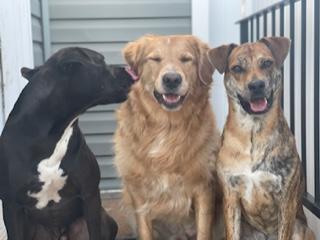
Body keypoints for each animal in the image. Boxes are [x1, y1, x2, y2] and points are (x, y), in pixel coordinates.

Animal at [0, 47, 134, 240]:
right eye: (100, 61)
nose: (130, 70)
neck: (52, 134)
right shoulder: (12, 205)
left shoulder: (90, 195)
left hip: (104, 220)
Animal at [208, 36, 316, 239]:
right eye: (237, 68)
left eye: (266, 63)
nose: (257, 85)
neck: (254, 131)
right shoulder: (230, 196)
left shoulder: (286, 200)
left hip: (301, 228)